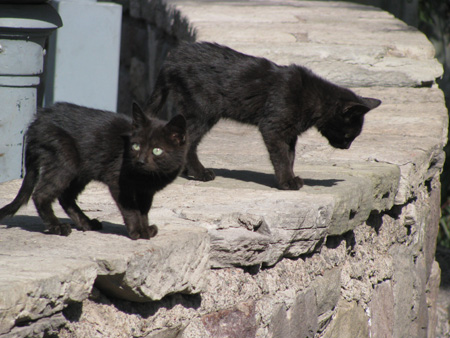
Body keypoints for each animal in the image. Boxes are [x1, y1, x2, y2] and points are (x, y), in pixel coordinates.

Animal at [0, 101, 187, 239]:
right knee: (41, 194)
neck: (147, 178)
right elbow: (131, 209)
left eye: (157, 150)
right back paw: (57, 227)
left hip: (81, 171)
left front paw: (146, 229)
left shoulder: (146, 192)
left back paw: (86, 223)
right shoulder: (119, 183)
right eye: (135, 146)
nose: (140, 161)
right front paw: (137, 232)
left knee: (65, 196)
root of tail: (37, 121)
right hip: (64, 159)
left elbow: (143, 211)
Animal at [147, 41, 380, 190]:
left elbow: (290, 155)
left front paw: (289, 177)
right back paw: (200, 173)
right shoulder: (273, 127)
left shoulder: (290, 133)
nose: (346, 147)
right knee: (189, 142)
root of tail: (173, 57)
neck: (314, 99)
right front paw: (287, 182)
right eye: (348, 135)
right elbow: (281, 157)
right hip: (203, 111)